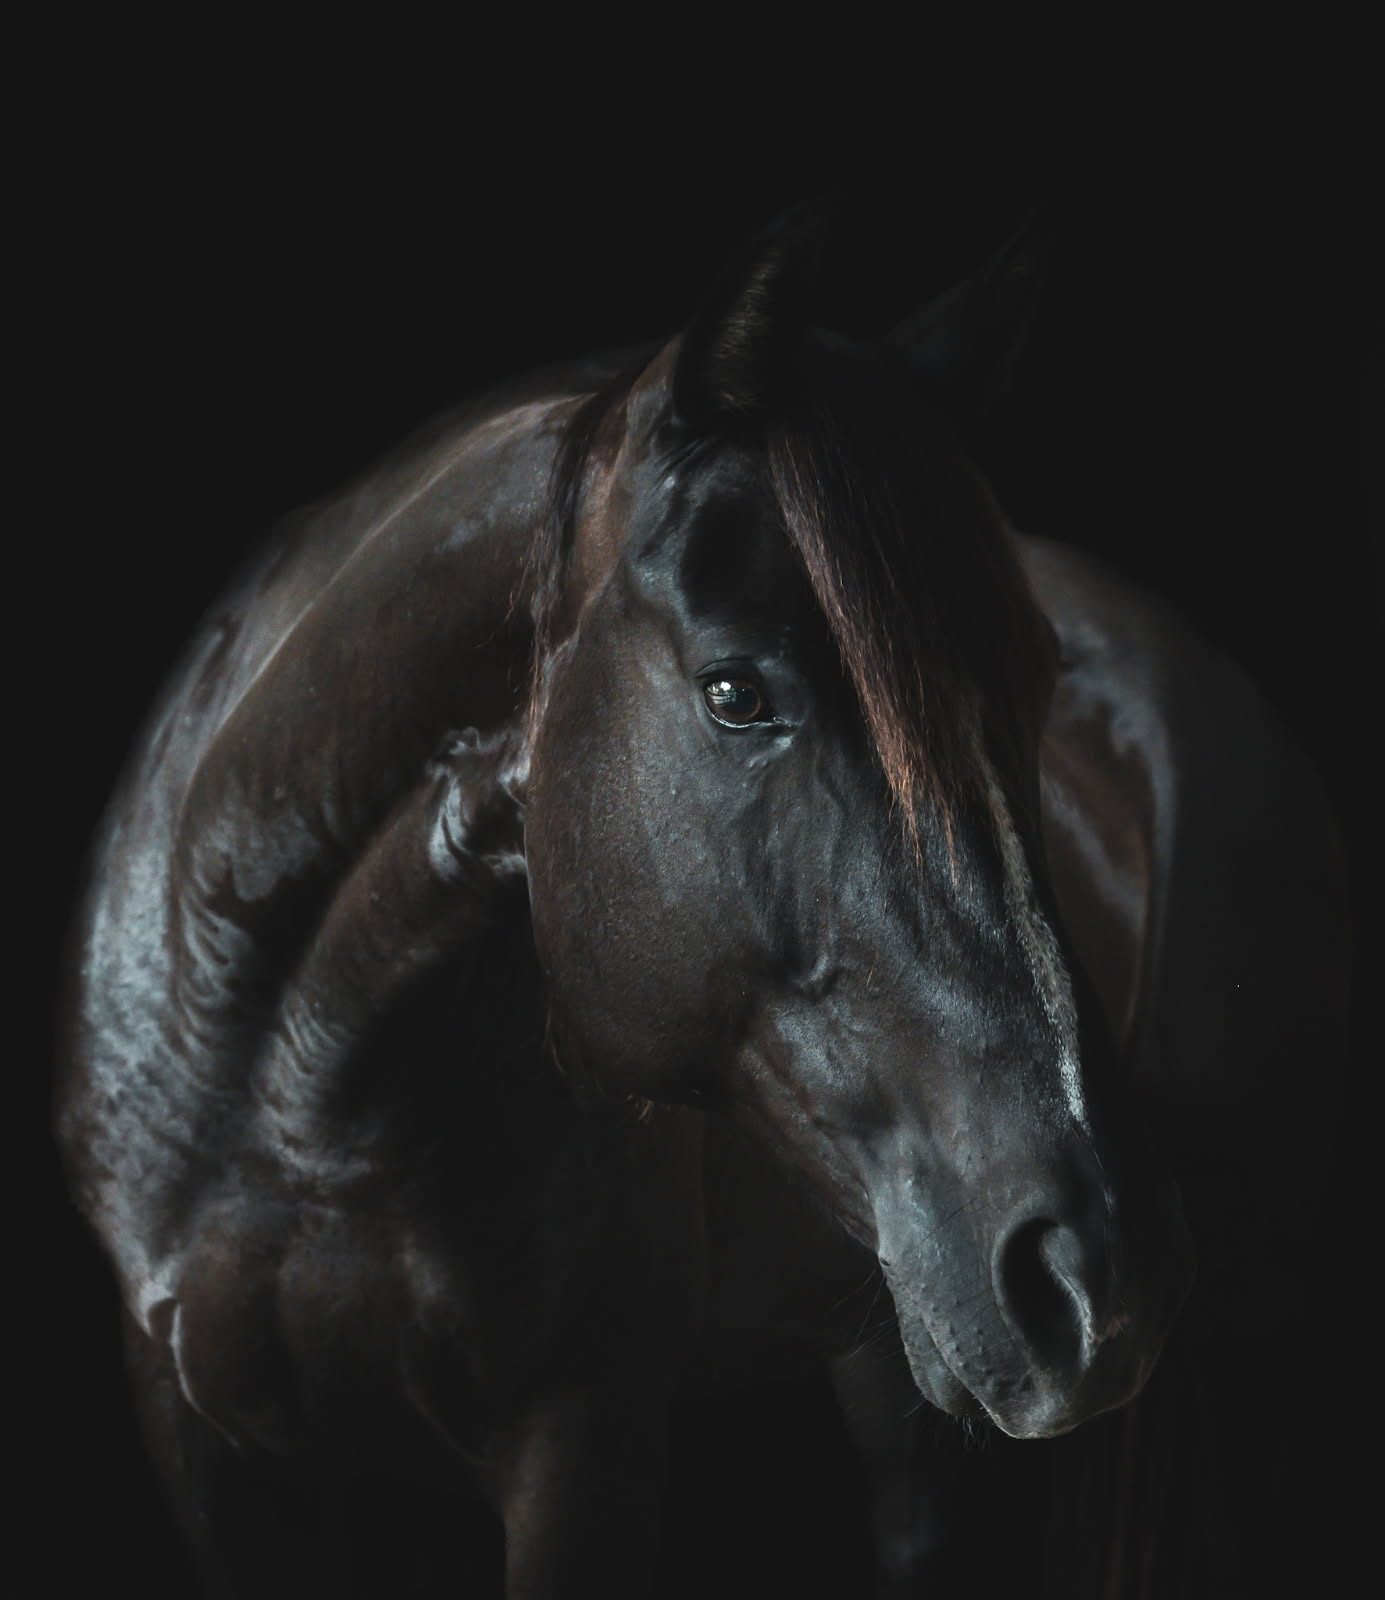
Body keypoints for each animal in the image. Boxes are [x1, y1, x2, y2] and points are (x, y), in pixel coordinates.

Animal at [54, 206, 1349, 1597]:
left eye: (1038, 679)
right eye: (735, 692)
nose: (1100, 1272)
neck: (298, 1103)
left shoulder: (583, 1440)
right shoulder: (208, 1450)